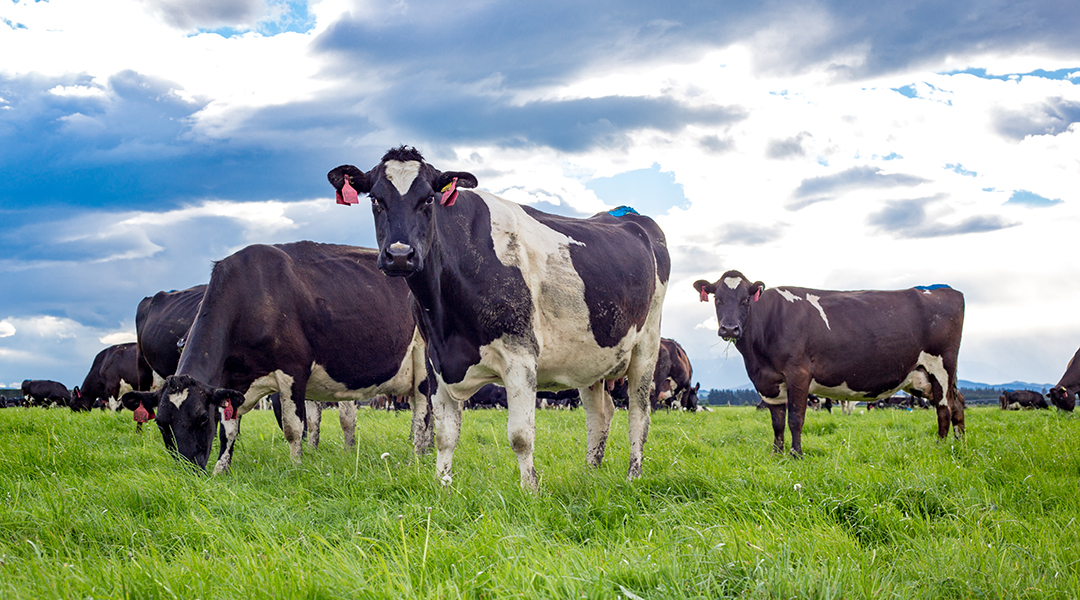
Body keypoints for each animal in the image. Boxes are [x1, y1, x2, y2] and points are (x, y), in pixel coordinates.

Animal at [119, 241, 431, 473]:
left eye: (202, 419)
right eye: (162, 424)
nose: (190, 470)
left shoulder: (293, 370)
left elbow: (294, 428)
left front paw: (296, 467)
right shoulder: (231, 383)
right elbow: (229, 430)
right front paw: (221, 469)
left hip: (423, 361)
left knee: (423, 414)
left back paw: (416, 458)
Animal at [328, 146, 670, 490]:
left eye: (428, 199)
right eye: (375, 199)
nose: (400, 255)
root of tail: (631, 216)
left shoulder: (520, 355)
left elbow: (520, 436)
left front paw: (530, 490)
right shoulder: (434, 358)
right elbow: (445, 434)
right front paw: (442, 486)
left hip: (647, 344)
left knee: (639, 414)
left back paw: (633, 474)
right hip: (590, 358)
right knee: (600, 414)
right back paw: (590, 474)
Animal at [693, 271, 965, 457]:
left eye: (746, 300)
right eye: (717, 298)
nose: (730, 328)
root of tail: (944, 288)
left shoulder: (798, 373)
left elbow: (795, 418)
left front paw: (796, 455)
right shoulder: (768, 382)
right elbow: (777, 421)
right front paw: (776, 454)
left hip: (941, 366)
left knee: (944, 407)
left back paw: (941, 447)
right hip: (921, 376)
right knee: (958, 402)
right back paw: (960, 443)